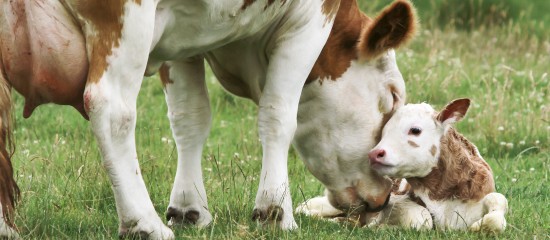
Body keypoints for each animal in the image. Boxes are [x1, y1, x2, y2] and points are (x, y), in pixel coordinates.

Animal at [0, 0, 414, 238]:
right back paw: (143, 223)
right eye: (393, 96)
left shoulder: (182, 39)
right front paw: (275, 212)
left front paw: (188, 208)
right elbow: (279, 115)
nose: (385, 197)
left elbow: (190, 118)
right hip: (125, 20)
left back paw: (6, 228)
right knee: (112, 109)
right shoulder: (310, 21)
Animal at [370, 98, 508, 232]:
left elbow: (498, 203)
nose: (374, 153)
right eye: (383, 133)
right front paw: (382, 226)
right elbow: (421, 218)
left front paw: (478, 227)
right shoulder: (393, 199)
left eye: (415, 130)